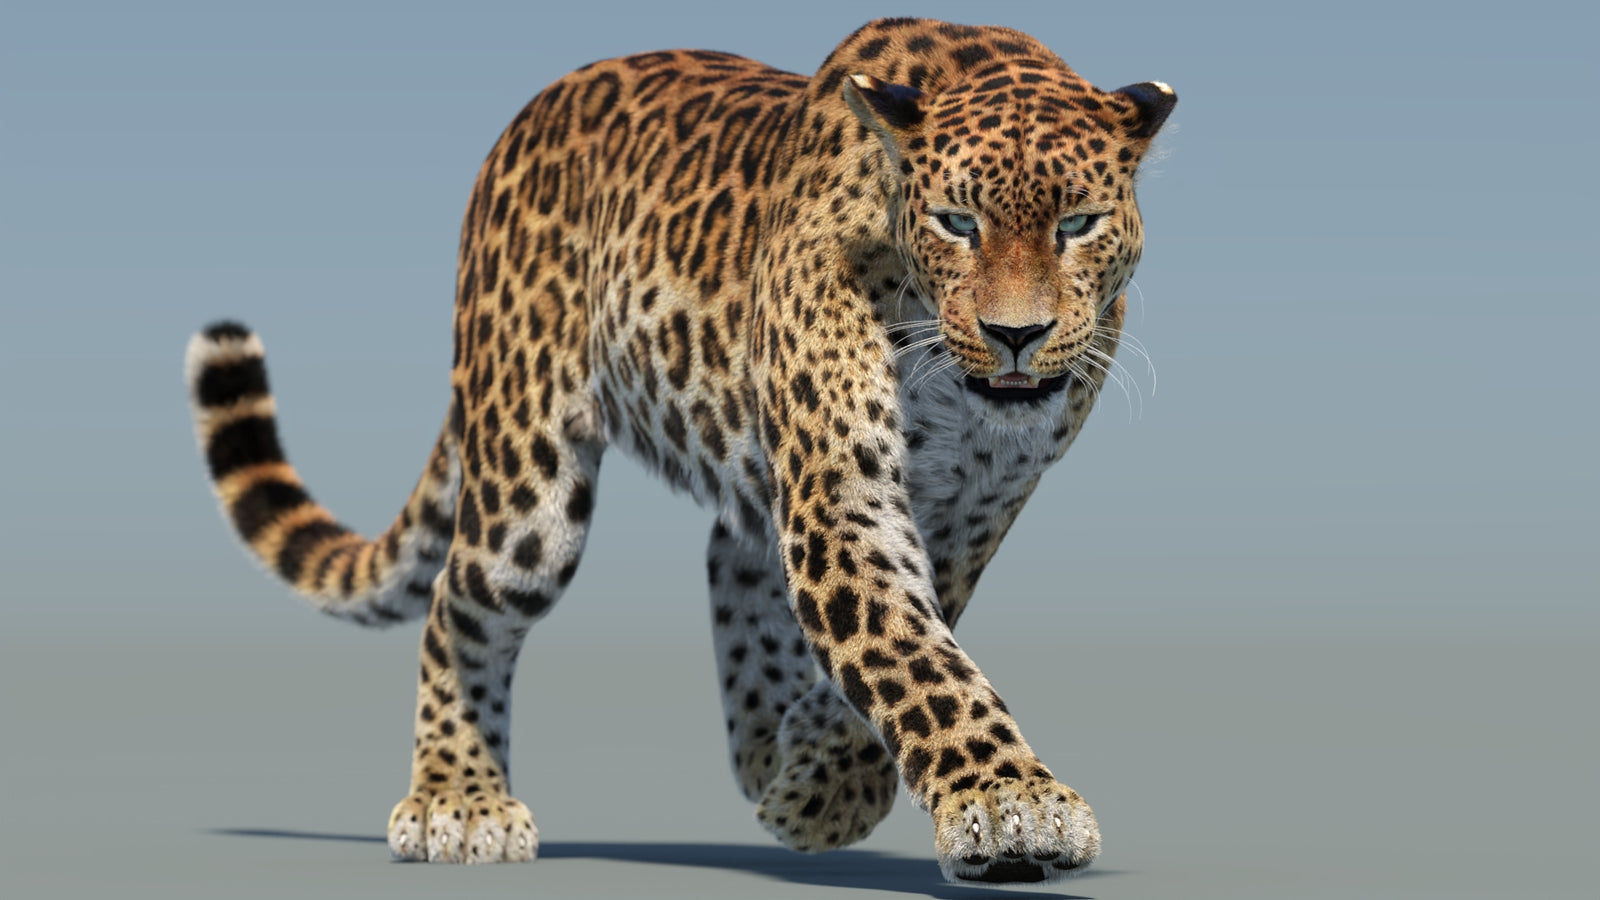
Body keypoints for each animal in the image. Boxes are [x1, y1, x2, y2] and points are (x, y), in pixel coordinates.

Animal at [184, 17, 1174, 884]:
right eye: (956, 223)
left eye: (1078, 224)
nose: (1018, 336)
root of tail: (523, 120)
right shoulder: (843, 497)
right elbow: (911, 653)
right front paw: (1010, 805)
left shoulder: (969, 512)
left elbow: (911, 639)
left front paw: (825, 787)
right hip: (527, 490)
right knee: (456, 604)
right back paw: (457, 801)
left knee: (731, 557)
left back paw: (764, 747)